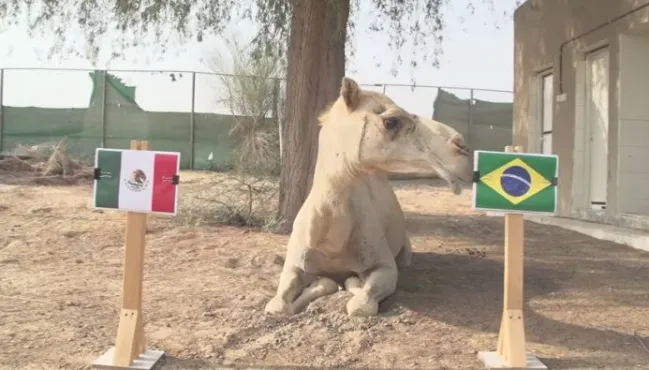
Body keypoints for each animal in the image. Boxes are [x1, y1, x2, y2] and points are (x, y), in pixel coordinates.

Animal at [264, 76, 470, 316]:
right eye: (391, 121)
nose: (462, 147)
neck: (332, 242)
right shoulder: (295, 264)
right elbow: (278, 305)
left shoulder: (385, 266)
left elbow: (360, 303)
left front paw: (348, 284)